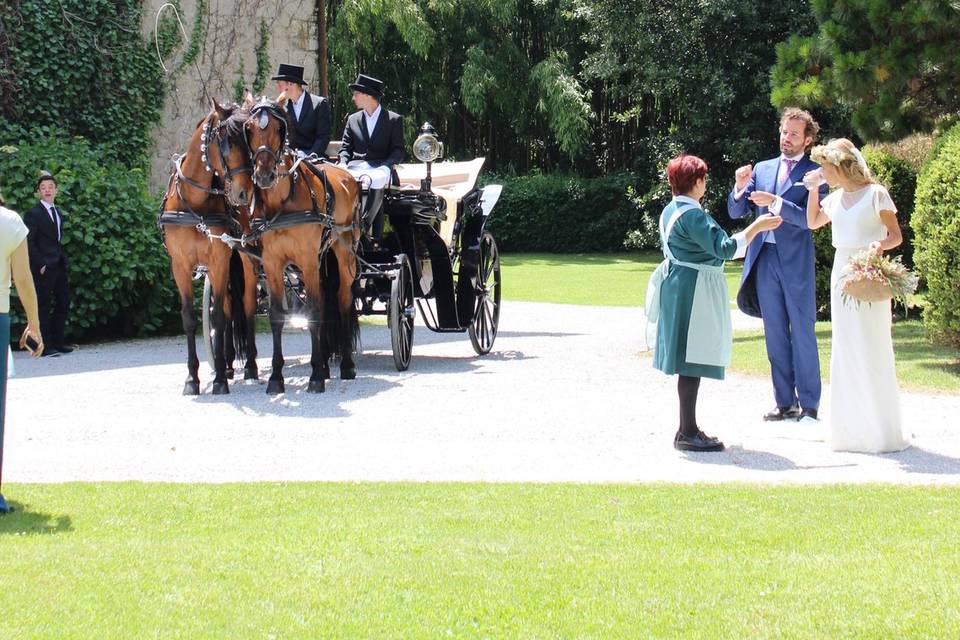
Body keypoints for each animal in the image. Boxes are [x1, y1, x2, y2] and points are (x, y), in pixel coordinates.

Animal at [160, 99, 258, 396]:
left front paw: (219, 382)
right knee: (227, 307)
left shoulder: (218, 260)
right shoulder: (180, 266)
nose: (244, 193)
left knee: (246, 306)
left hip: (246, 260)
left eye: (250, 140)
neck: (194, 203)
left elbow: (217, 318)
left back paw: (250, 366)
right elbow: (191, 318)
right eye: (227, 141)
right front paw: (192, 378)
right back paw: (226, 362)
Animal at [239, 97, 360, 392]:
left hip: (344, 253)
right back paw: (326, 365)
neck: (283, 201)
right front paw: (276, 377)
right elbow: (277, 315)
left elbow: (314, 310)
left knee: (342, 300)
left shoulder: (306, 259)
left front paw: (315, 376)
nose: (264, 175)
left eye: (279, 128)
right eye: (249, 128)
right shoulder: (272, 263)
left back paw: (346, 365)